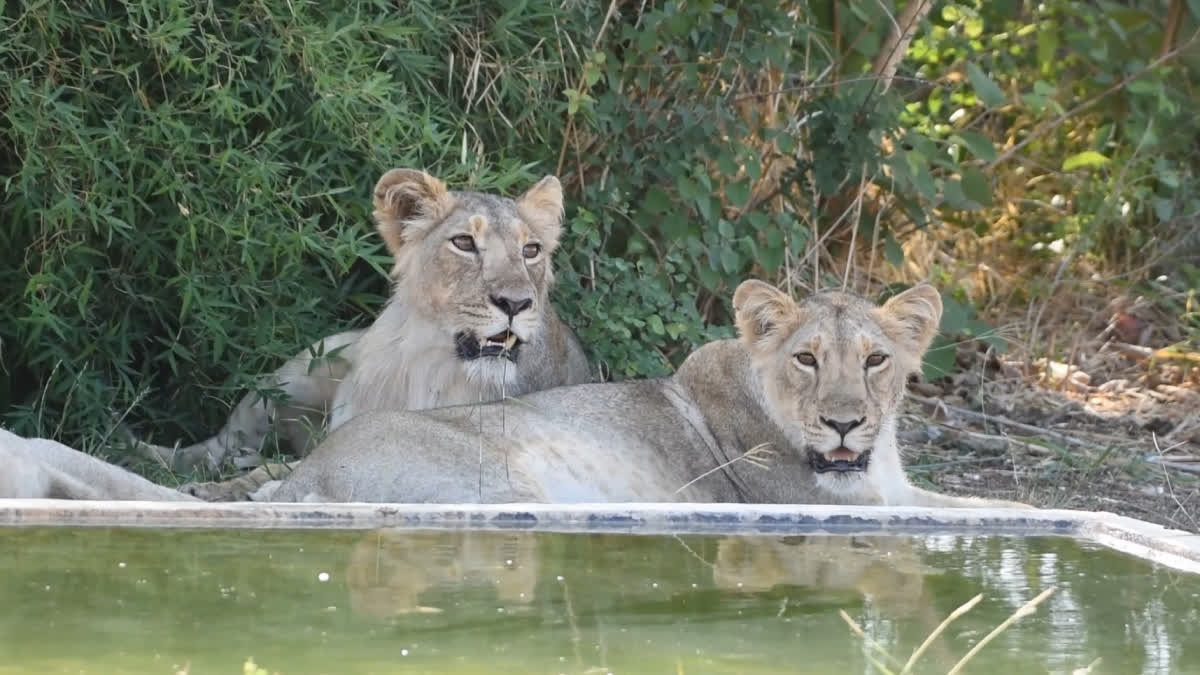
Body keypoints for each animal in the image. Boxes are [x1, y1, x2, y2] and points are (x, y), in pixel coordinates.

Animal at [137, 167, 591, 497]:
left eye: (530, 251)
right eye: (463, 242)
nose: (516, 304)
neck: (429, 365)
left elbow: (286, 468)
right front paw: (217, 488)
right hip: (304, 365)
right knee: (221, 442)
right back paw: (150, 452)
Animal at [262, 279, 1027, 508]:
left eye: (876, 360)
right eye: (806, 359)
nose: (844, 423)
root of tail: (308, 469)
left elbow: (1001, 507)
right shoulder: (835, 506)